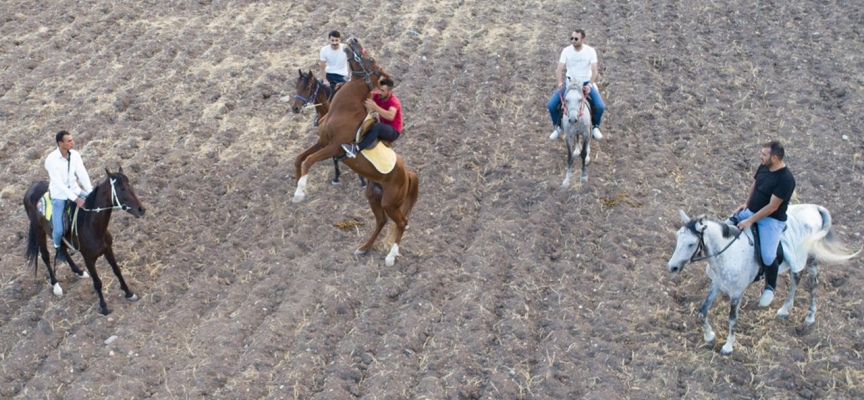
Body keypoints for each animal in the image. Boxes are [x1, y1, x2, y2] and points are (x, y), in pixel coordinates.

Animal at [23, 167, 146, 314]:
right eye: (122, 189)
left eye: (130, 185)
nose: (141, 209)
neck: (91, 226)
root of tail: (30, 189)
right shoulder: (88, 259)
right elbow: (97, 283)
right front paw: (104, 307)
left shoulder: (108, 249)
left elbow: (117, 270)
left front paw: (129, 293)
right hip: (39, 230)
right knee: (45, 256)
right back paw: (56, 286)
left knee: (61, 248)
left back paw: (79, 272)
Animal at [292, 37, 420, 268]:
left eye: (370, 58)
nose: (353, 40)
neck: (341, 109)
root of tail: (407, 174)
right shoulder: (323, 141)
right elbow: (300, 159)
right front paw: (299, 186)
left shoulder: (334, 147)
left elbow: (309, 161)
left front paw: (299, 191)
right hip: (373, 195)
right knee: (381, 221)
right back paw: (364, 247)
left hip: (390, 202)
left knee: (401, 222)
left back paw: (390, 257)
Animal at [668, 205, 856, 354]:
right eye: (677, 237)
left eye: (691, 244)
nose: (672, 267)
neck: (729, 252)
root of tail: (815, 208)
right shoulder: (717, 284)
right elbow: (702, 311)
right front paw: (709, 337)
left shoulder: (736, 294)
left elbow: (732, 319)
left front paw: (728, 347)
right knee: (796, 279)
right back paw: (784, 310)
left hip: (811, 258)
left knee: (812, 283)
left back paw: (810, 316)